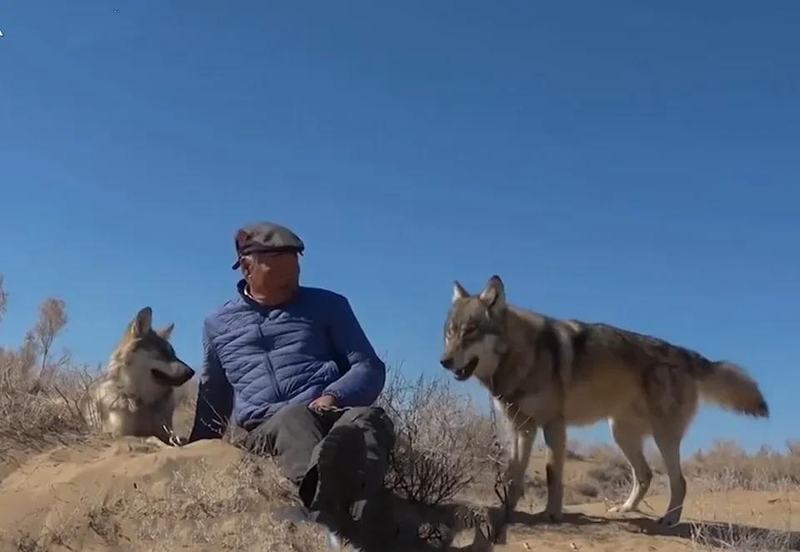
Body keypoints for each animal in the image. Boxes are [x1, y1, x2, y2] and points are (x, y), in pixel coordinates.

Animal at [80, 306, 196, 444]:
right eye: (162, 353)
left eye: (173, 354)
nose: (192, 372)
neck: (142, 401)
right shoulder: (118, 433)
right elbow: (150, 437)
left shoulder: (166, 430)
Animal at [438, 274, 768, 528]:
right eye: (451, 333)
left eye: (471, 332)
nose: (444, 361)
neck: (520, 357)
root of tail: (686, 354)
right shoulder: (520, 428)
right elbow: (512, 476)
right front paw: (507, 513)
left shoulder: (553, 426)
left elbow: (552, 475)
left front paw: (552, 514)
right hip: (621, 434)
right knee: (645, 475)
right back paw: (625, 509)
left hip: (663, 437)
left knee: (679, 482)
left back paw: (669, 520)